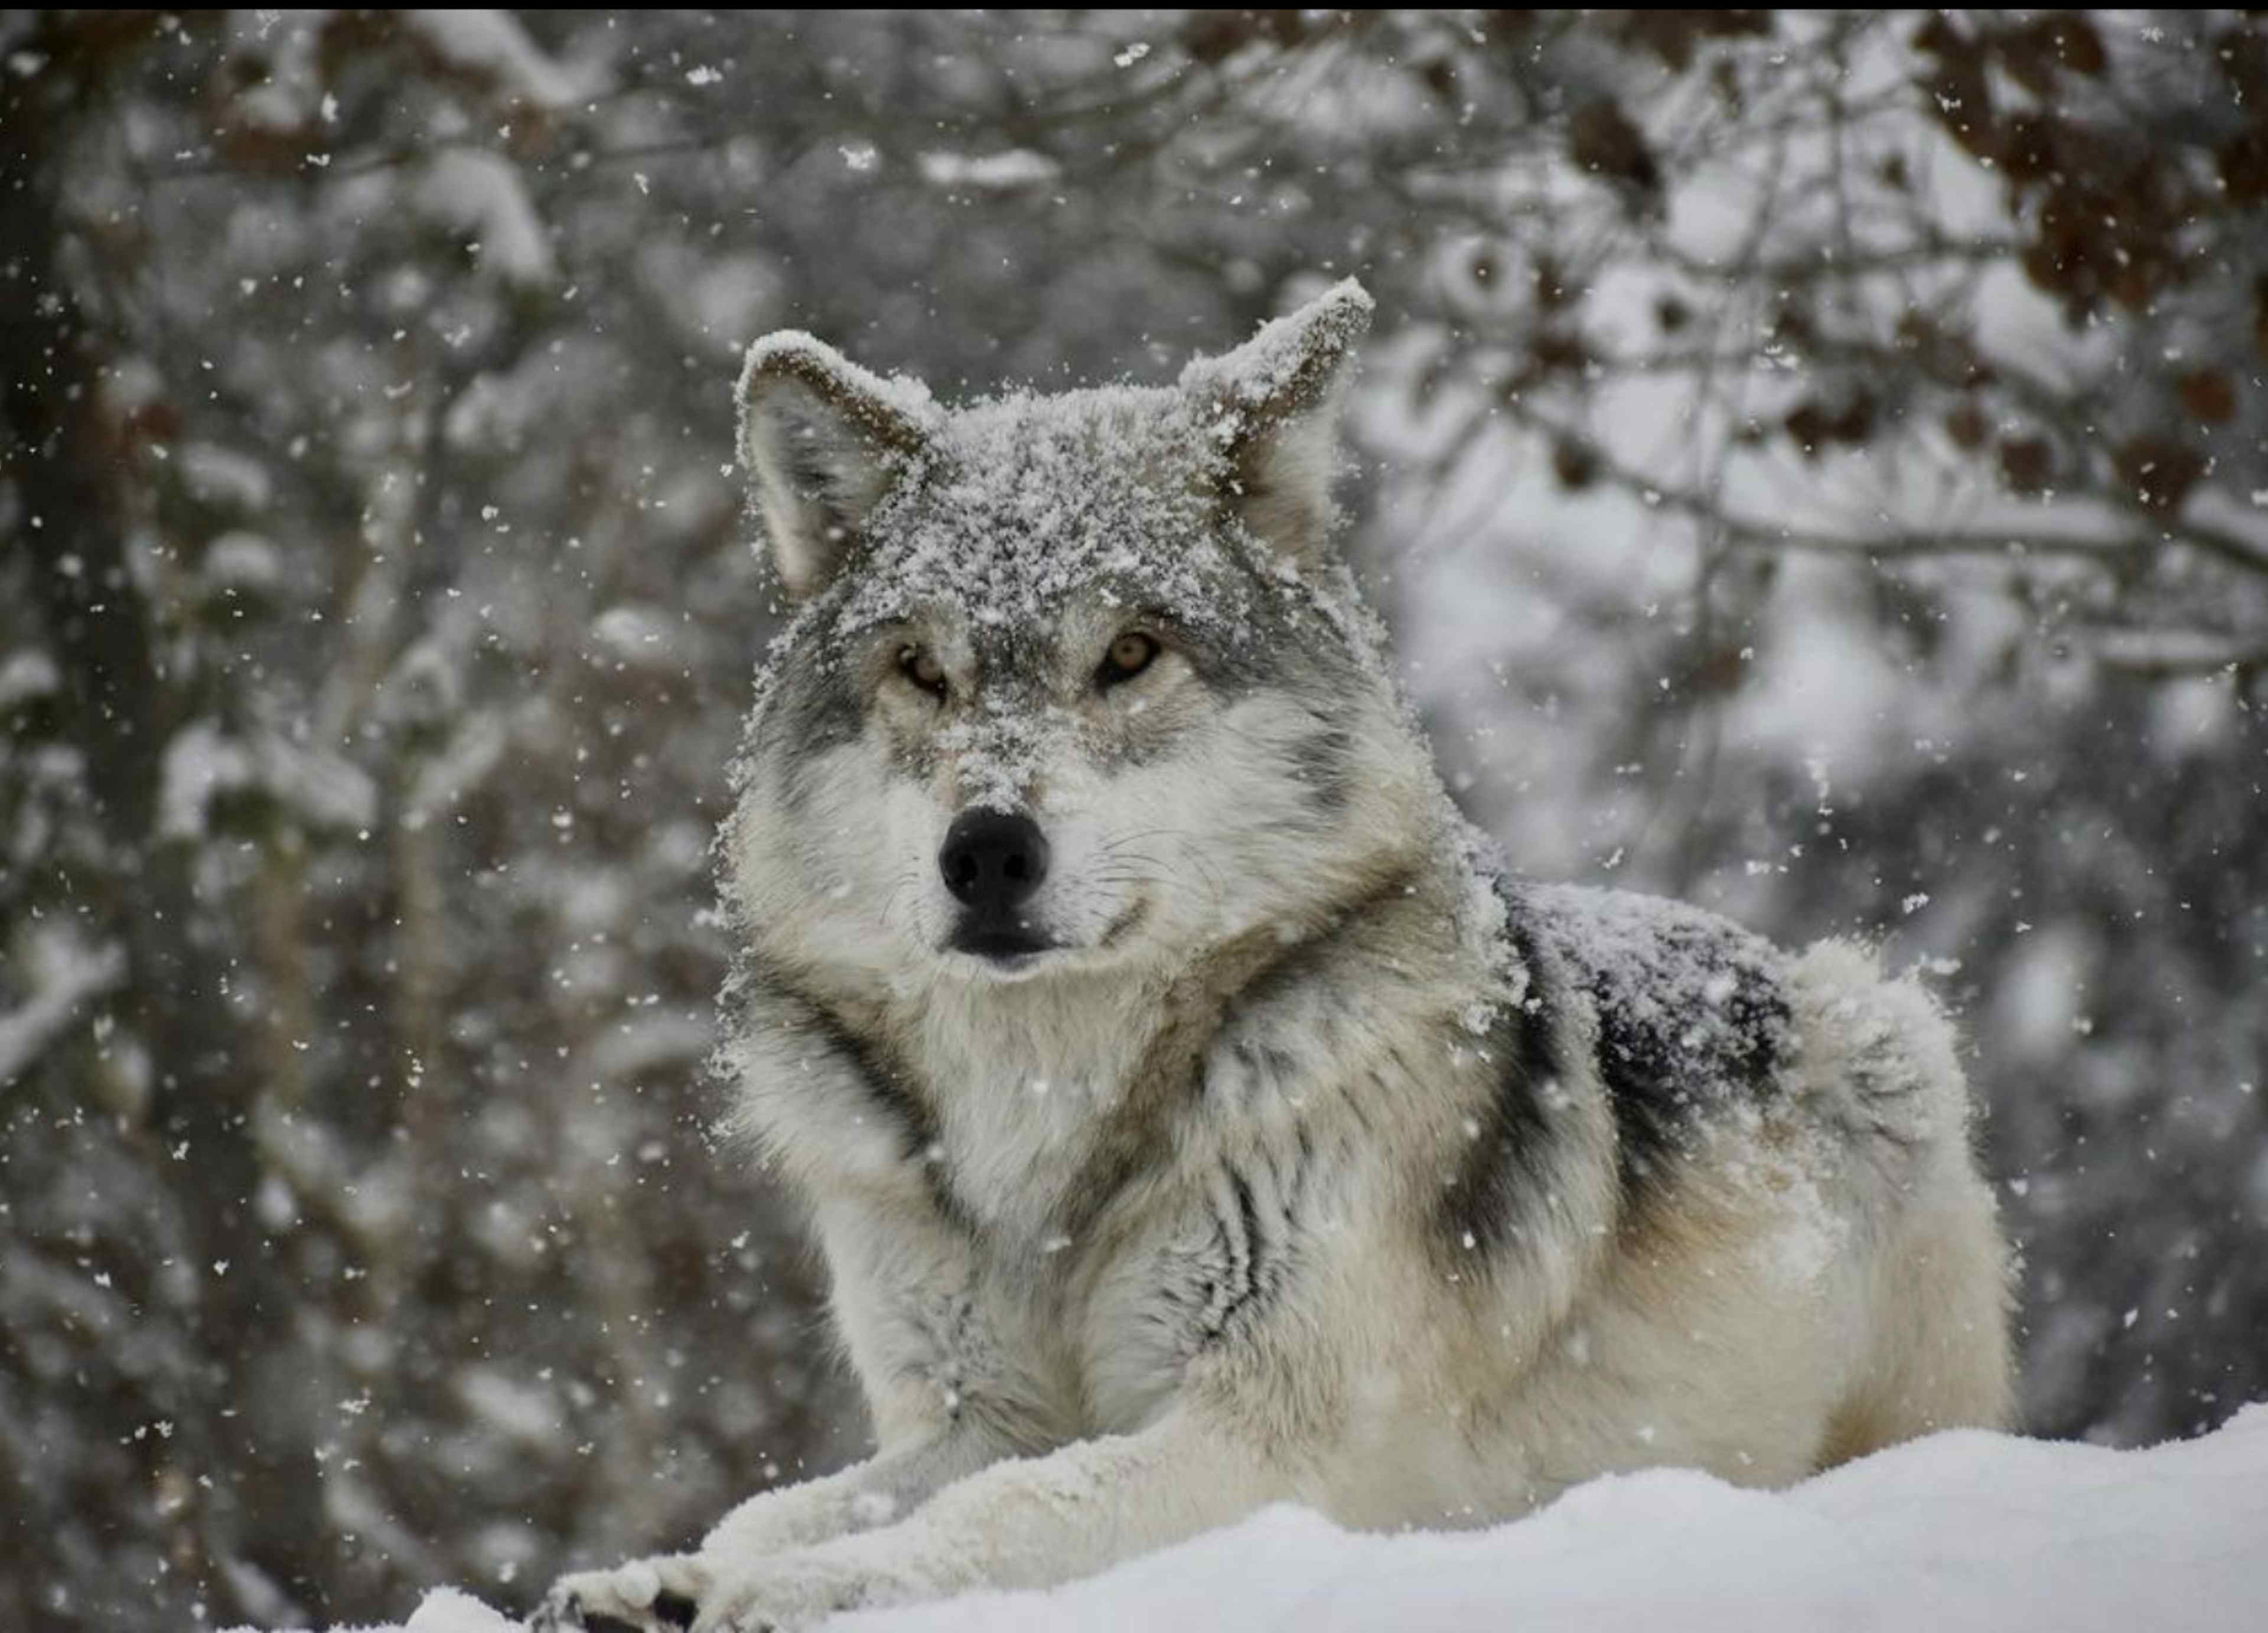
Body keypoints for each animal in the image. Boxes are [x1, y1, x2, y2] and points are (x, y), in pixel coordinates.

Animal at [536, 282, 2013, 1633]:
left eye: (1131, 652)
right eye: (922, 670)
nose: (988, 852)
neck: (1047, 1119)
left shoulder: (1276, 1444)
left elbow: (997, 1510)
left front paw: (781, 1595)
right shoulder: (971, 1409)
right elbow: (780, 1502)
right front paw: (658, 1577)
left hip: (1892, 1044)